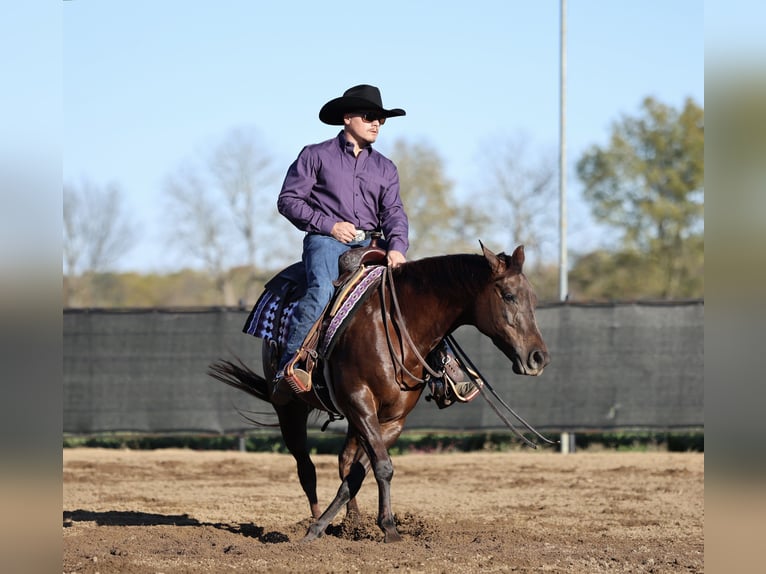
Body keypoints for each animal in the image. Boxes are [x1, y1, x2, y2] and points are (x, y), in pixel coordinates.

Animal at [208, 243, 549, 543]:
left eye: (533, 297)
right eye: (508, 296)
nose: (538, 357)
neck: (397, 325)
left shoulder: (391, 419)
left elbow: (360, 473)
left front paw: (368, 525)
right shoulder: (360, 403)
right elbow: (382, 467)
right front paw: (374, 529)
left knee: (345, 461)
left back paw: (351, 521)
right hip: (290, 409)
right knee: (306, 468)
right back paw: (316, 518)